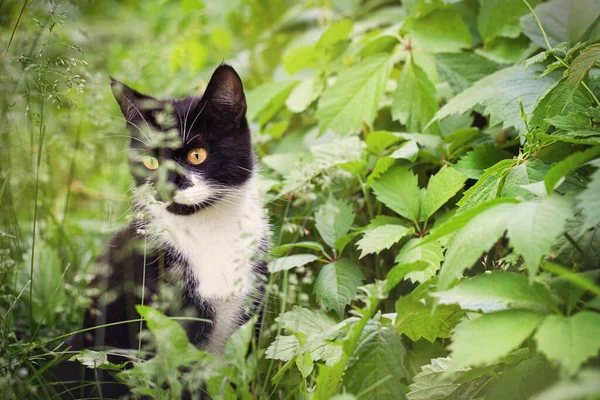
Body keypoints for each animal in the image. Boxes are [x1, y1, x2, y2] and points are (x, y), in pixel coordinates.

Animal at [57, 65, 268, 396]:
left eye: (197, 155)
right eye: (151, 161)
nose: (166, 187)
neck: (208, 228)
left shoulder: (253, 302)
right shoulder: (158, 311)